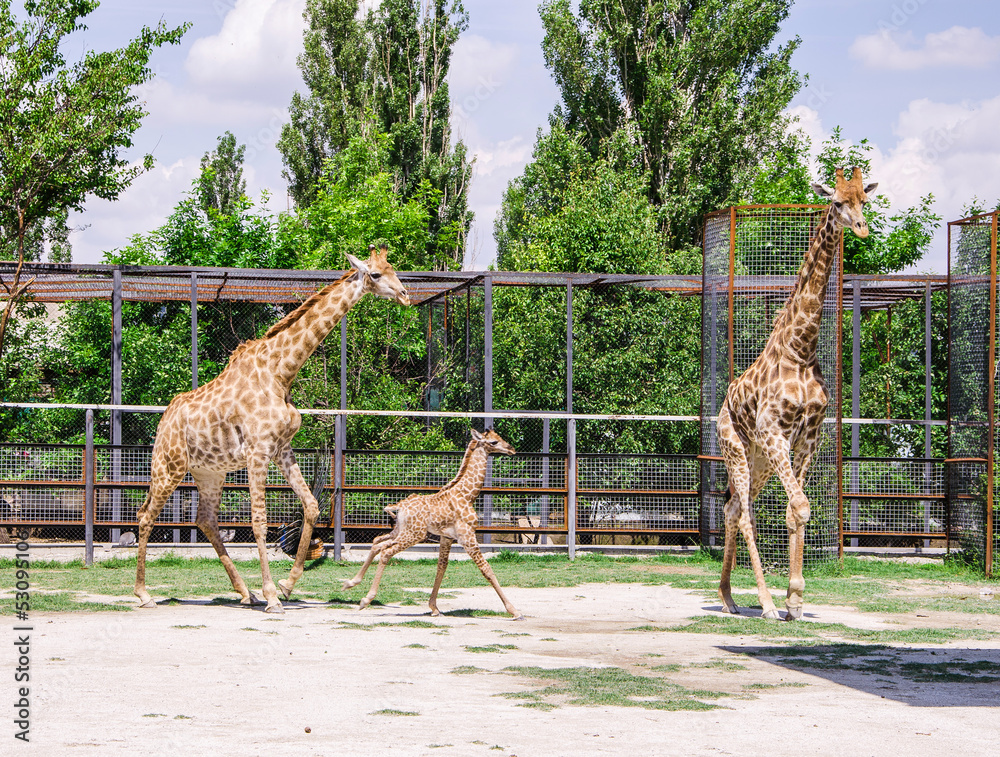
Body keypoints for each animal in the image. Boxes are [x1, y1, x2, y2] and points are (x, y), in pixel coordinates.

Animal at [133, 245, 410, 613]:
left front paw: (286, 585)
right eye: (376, 274)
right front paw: (271, 595)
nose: (405, 295)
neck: (281, 373)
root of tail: (164, 419)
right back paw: (144, 593)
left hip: (209, 472)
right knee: (145, 515)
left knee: (205, 520)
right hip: (169, 465)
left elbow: (311, 506)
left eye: (394, 269)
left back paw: (244, 592)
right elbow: (259, 521)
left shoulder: (282, 448)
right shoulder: (258, 450)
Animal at [342, 428, 524, 619]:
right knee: (386, 552)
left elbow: (441, 567)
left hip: (400, 531)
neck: (468, 495)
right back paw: (366, 599)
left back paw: (350, 583)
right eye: (494, 442)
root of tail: (399, 506)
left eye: (500, 437)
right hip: (415, 535)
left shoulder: (447, 537)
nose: (511, 449)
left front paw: (434, 608)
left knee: (377, 543)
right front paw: (514, 611)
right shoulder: (467, 535)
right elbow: (486, 569)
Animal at [716, 167, 877, 621]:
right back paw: (764, 604)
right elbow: (802, 507)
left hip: (758, 459)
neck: (800, 350)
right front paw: (786, 600)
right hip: (738, 447)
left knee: (733, 508)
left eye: (865, 200)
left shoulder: (808, 437)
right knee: (744, 513)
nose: (861, 228)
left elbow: (794, 512)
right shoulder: (774, 432)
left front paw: (796, 602)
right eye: (837, 202)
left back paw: (729, 597)